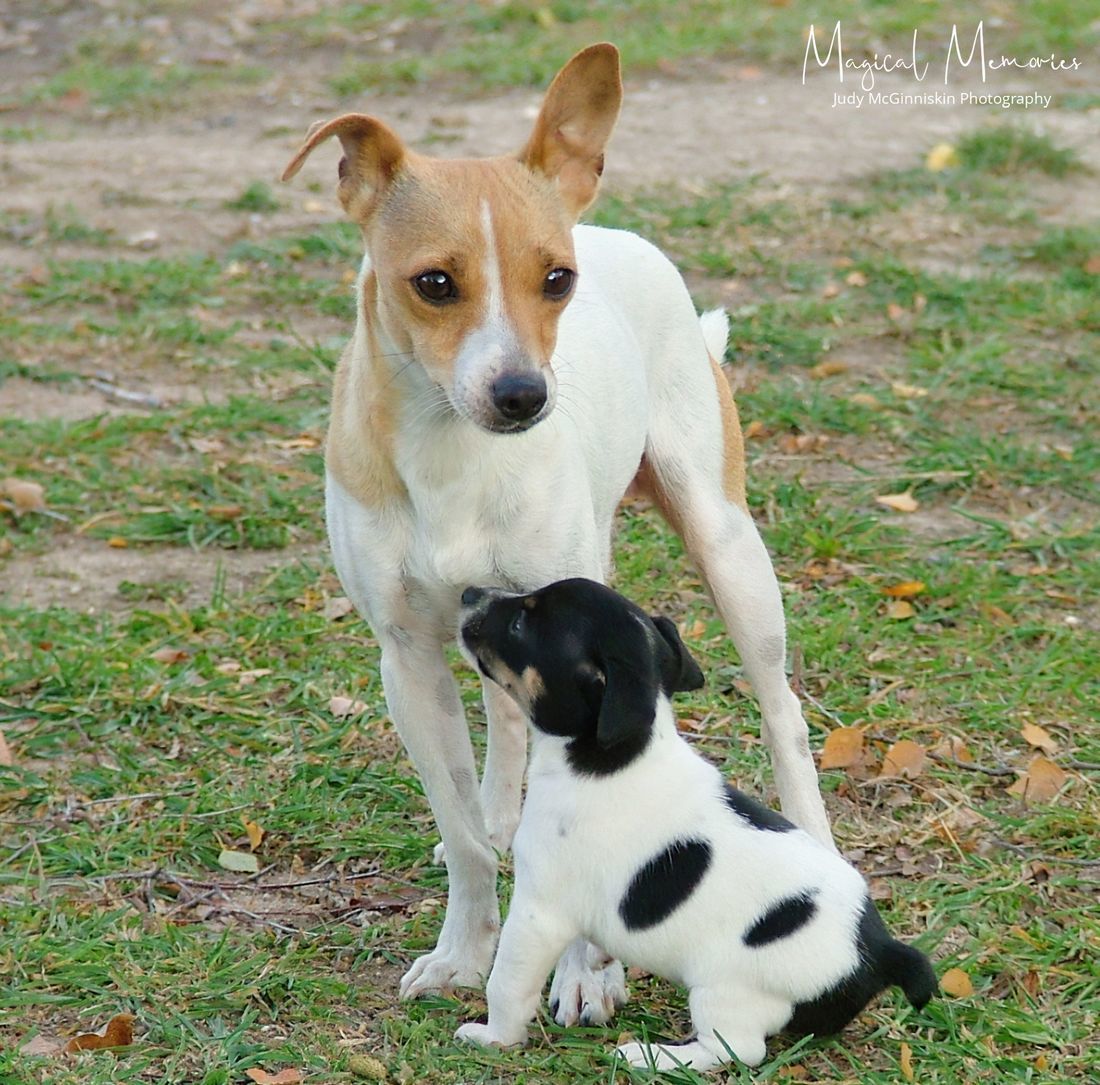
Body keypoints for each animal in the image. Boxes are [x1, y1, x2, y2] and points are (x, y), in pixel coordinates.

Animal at [283, 44, 831, 1025]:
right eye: (433, 283)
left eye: (556, 280)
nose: (522, 396)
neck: (453, 454)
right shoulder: (409, 658)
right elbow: (462, 828)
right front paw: (463, 951)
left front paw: (586, 971)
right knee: (504, 730)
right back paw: (504, 812)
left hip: (729, 547)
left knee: (784, 713)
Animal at [451, 576, 932, 1065]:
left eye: (520, 623)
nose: (468, 593)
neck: (617, 755)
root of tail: (880, 951)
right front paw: (600, 961)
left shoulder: (538, 911)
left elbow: (507, 985)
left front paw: (494, 1038)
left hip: (725, 994)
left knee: (735, 1050)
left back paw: (647, 1055)